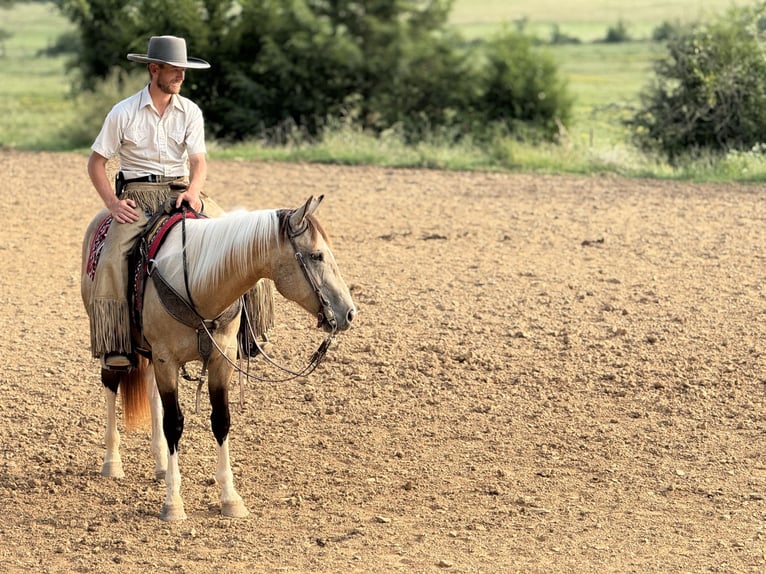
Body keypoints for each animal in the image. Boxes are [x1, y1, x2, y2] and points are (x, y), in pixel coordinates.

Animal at [80, 195, 356, 521]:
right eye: (316, 256)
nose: (349, 313)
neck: (198, 284)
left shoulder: (220, 359)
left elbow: (221, 420)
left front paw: (230, 499)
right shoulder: (165, 360)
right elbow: (174, 424)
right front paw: (173, 503)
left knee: (150, 391)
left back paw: (160, 464)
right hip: (112, 332)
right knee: (111, 382)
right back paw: (112, 461)